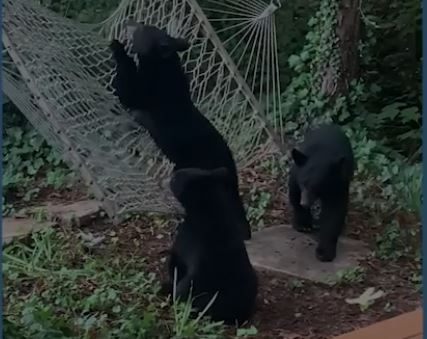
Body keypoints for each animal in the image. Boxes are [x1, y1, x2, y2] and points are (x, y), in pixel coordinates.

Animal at [108, 23, 252, 242]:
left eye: (143, 28)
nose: (129, 23)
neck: (163, 64)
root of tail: (230, 162)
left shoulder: (153, 90)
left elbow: (129, 92)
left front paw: (117, 47)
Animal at [290, 124, 356, 262]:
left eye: (316, 186)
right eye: (303, 183)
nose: (305, 203)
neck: (321, 155)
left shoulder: (339, 183)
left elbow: (334, 211)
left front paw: (324, 252)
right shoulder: (297, 172)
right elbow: (294, 192)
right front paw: (303, 224)